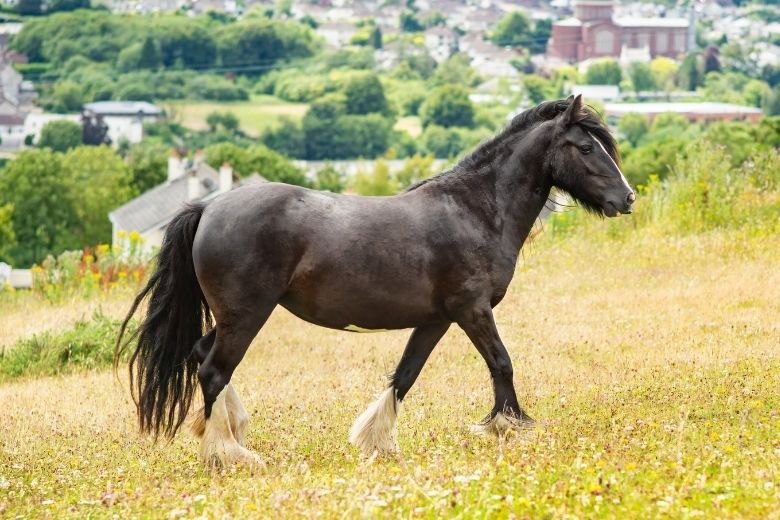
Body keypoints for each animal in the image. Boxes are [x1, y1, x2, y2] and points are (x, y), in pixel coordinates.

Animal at [116, 95, 632, 466]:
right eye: (587, 147)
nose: (626, 198)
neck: (475, 209)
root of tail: (208, 208)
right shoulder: (473, 310)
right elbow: (502, 363)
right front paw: (508, 427)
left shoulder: (438, 320)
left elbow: (405, 376)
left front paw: (377, 442)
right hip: (246, 316)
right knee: (213, 370)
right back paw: (230, 454)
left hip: (232, 318)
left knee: (202, 355)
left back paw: (230, 432)